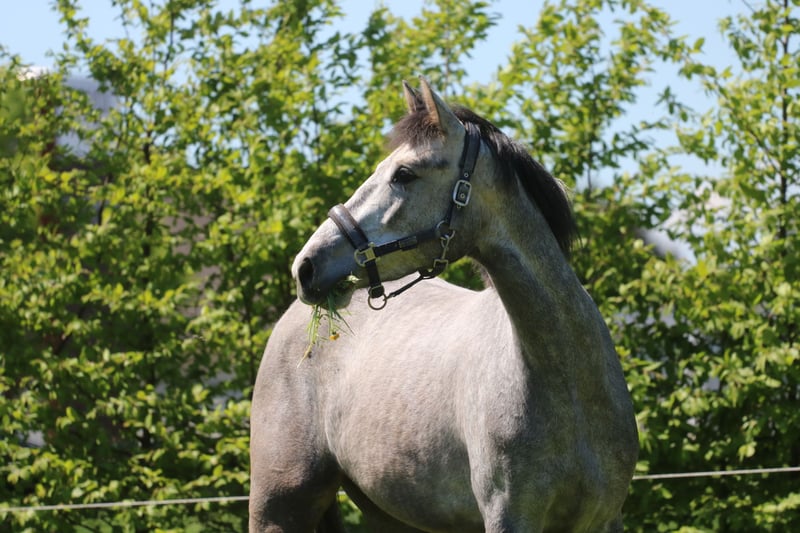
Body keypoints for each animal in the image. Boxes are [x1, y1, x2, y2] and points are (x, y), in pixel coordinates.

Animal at [249, 78, 639, 533]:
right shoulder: (508, 516)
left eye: (404, 173)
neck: (570, 387)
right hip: (277, 507)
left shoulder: (604, 518)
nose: (306, 265)